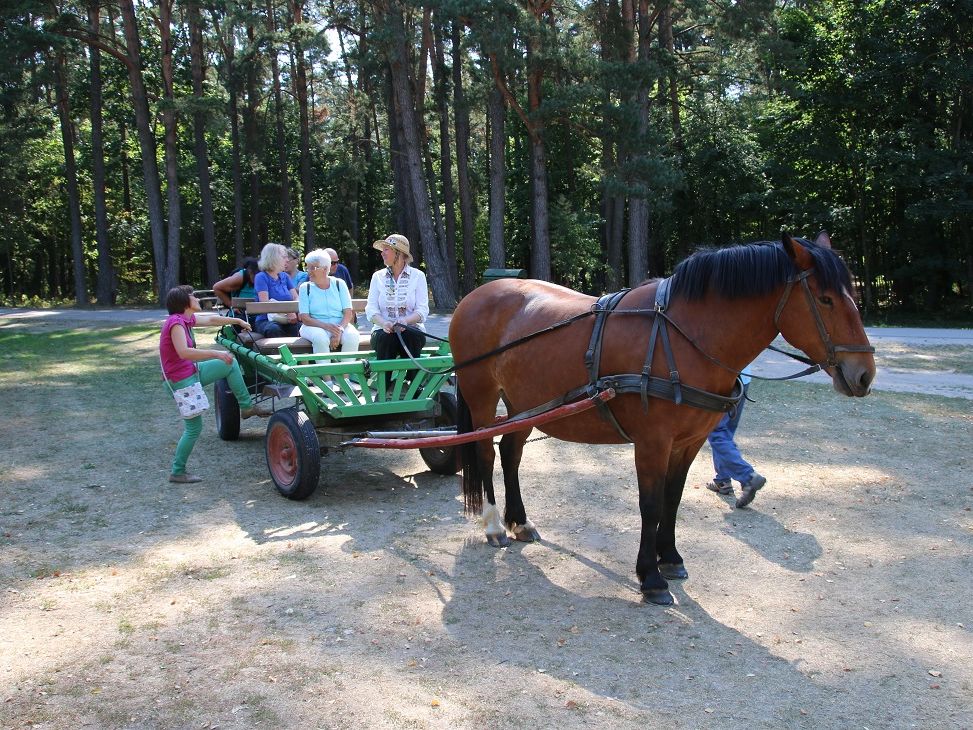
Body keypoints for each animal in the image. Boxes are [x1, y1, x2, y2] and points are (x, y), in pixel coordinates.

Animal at [448, 232, 872, 604]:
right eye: (825, 299)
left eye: (854, 296)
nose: (865, 374)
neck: (684, 338)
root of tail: (476, 296)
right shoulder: (652, 442)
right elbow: (650, 505)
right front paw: (650, 577)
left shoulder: (688, 443)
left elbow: (673, 499)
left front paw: (670, 558)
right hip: (483, 399)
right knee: (485, 453)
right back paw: (494, 525)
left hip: (524, 405)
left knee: (511, 453)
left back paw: (520, 521)